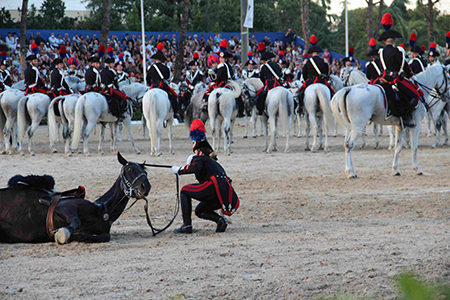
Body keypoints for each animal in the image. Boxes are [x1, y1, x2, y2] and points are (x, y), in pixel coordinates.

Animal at [0, 152, 151, 244]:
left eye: (145, 172)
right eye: (129, 169)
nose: (146, 186)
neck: (102, 210)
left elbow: (104, 236)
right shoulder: (64, 207)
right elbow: (75, 221)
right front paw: (63, 234)